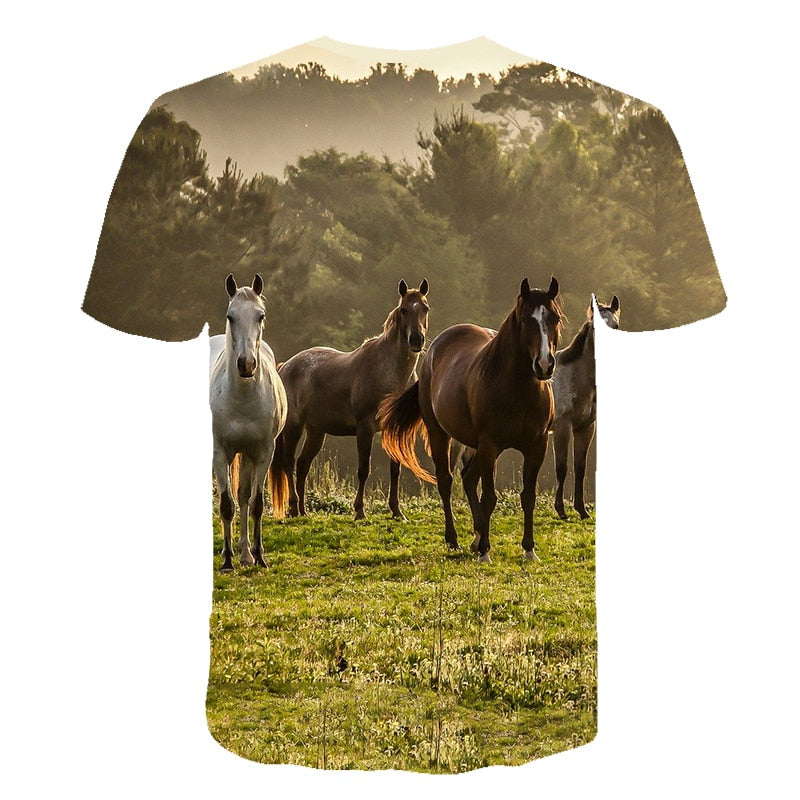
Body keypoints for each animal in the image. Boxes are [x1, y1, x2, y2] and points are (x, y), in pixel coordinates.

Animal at [209, 273, 287, 571]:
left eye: (260, 316)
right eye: (230, 316)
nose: (246, 364)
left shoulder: (263, 453)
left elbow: (254, 504)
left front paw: (260, 556)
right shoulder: (220, 453)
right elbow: (226, 505)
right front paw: (227, 560)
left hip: (247, 455)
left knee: (244, 496)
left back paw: (245, 553)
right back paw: (231, 553)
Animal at [269, 279, 430, 521]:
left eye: (425, 308)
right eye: (404, 310)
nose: (417, 340)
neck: (388, 372)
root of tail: (285, 366)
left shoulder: (392, 428)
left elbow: (395, 470)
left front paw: (396, 511)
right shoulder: (365, 429)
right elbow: (363, 470)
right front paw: (359, 511)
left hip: (316, 431)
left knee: (303, 464)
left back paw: (303, 511)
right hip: (293, 427)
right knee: (289, 464)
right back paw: (294, 508)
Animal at [379, 277, 563, 562]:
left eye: (554, 318)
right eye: (525, 320)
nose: (544, 365)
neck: (518, 390)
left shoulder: (537, 446)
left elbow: (528, 497)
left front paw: (529, 550)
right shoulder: (490, 446)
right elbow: (489, 497)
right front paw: (486, 551)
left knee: (467, 478)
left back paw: (475, 538)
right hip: (441, 434)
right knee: (447, 481)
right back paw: (454, 539)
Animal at [551, 295, 620, 520]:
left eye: (616, 326)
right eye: (595, 326)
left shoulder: (585, 428)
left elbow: (580, 468)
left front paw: (581, 510)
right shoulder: (562, 428)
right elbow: (561, 467)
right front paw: (560, 509)